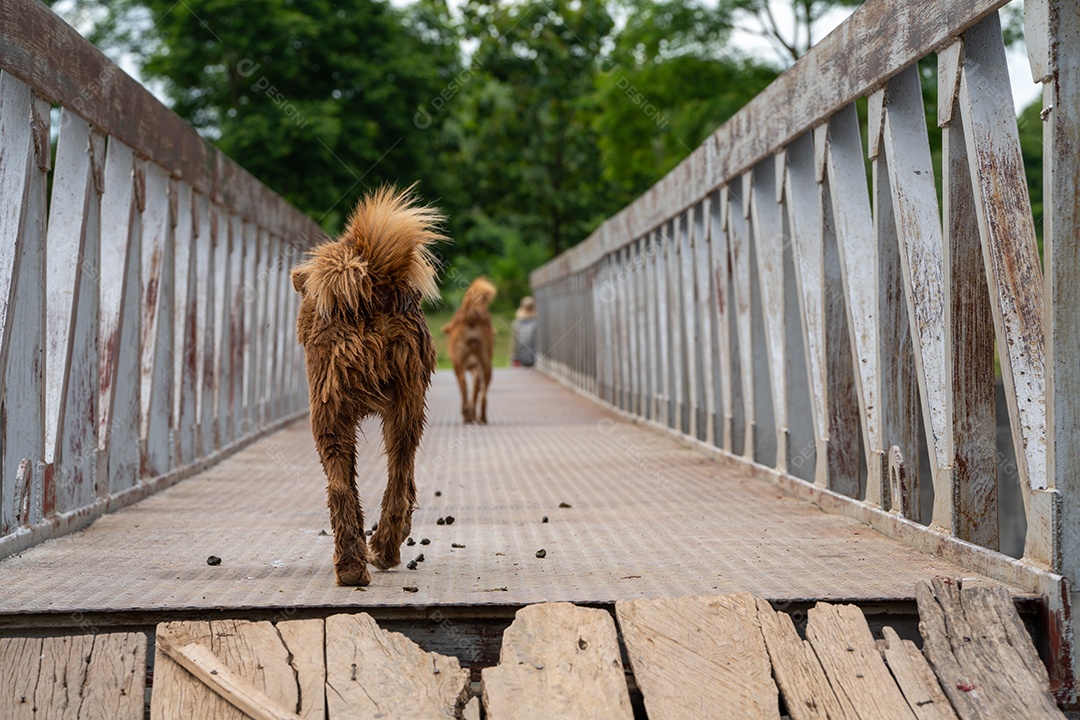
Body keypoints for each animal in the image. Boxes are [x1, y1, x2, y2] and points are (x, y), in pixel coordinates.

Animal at [293, 185, 440, 587]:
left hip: (334, 411)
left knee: (351, 484)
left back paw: (360, 561)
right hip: (404, 406)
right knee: (391, 479)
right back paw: (370, 557)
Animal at [440, 278, 494, 425]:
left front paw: (470, 414)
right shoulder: (476, 369)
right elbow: (476, 392)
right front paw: (472, 414)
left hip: (460, 366)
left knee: (464, 387)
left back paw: (469, 415)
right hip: (485, 365)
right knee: (483, 393)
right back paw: (480, 417)